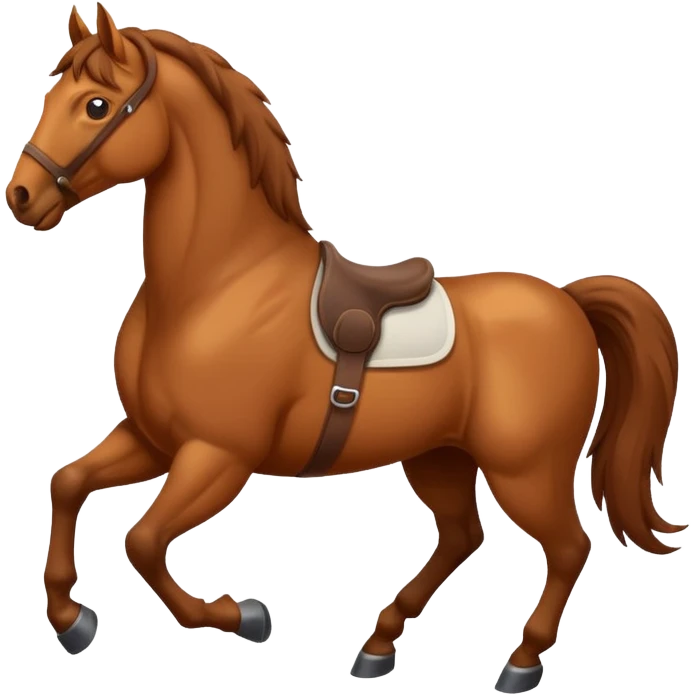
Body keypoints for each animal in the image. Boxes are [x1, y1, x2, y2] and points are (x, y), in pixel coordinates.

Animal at [6, 4, 683, 691]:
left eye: (95, 105)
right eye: (51, 93)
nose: (22, 198)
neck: (218, 282)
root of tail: (569, 301)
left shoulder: (217, 456)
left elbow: (142, 542)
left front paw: (246, 616)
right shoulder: (153, 438)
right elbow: (67, 484)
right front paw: (70, 620)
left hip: (526, 470)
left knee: (569, 546)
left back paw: (520, 661)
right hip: (439, 456)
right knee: (462, 535)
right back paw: (379, 646)